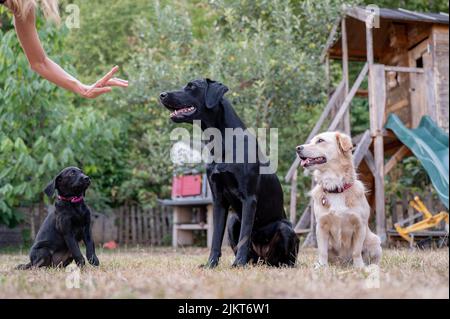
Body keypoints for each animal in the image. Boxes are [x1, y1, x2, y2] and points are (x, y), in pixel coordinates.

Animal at [161, 79, 298, 268]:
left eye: (192, 86)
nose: (162, 95)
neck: (221, 142)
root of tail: (264, 259)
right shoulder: (218, 200)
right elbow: (216, 238)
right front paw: (211, 264)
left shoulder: (249, 198)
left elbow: (244, 235)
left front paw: (238, 263)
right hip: (233, 221)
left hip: (285, 229)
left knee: (285, 258)